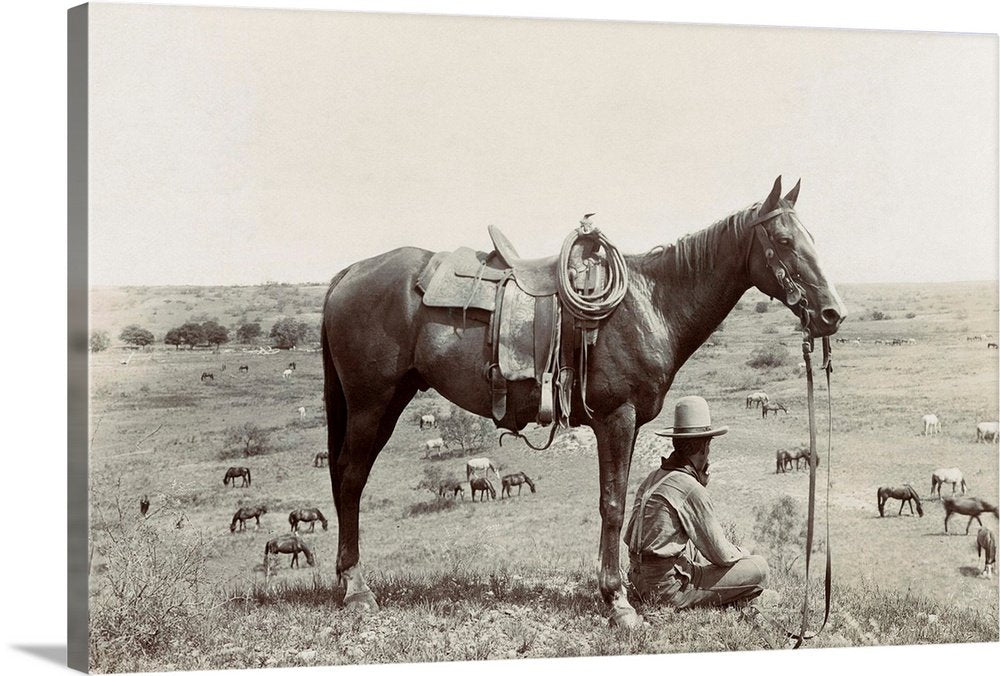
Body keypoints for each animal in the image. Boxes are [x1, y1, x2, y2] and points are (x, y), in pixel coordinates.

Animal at [320, 176, 845, 625]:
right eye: (783, 241)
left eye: (812, 237)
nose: (831, 313)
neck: (651, 303)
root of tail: (350, 273)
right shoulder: (617, 418)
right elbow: (613, 503)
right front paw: (617, 600)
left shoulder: (626, 423)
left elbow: (619, 498)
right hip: (370, 404)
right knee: (351, 479)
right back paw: (357, 590)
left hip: (388, 403)